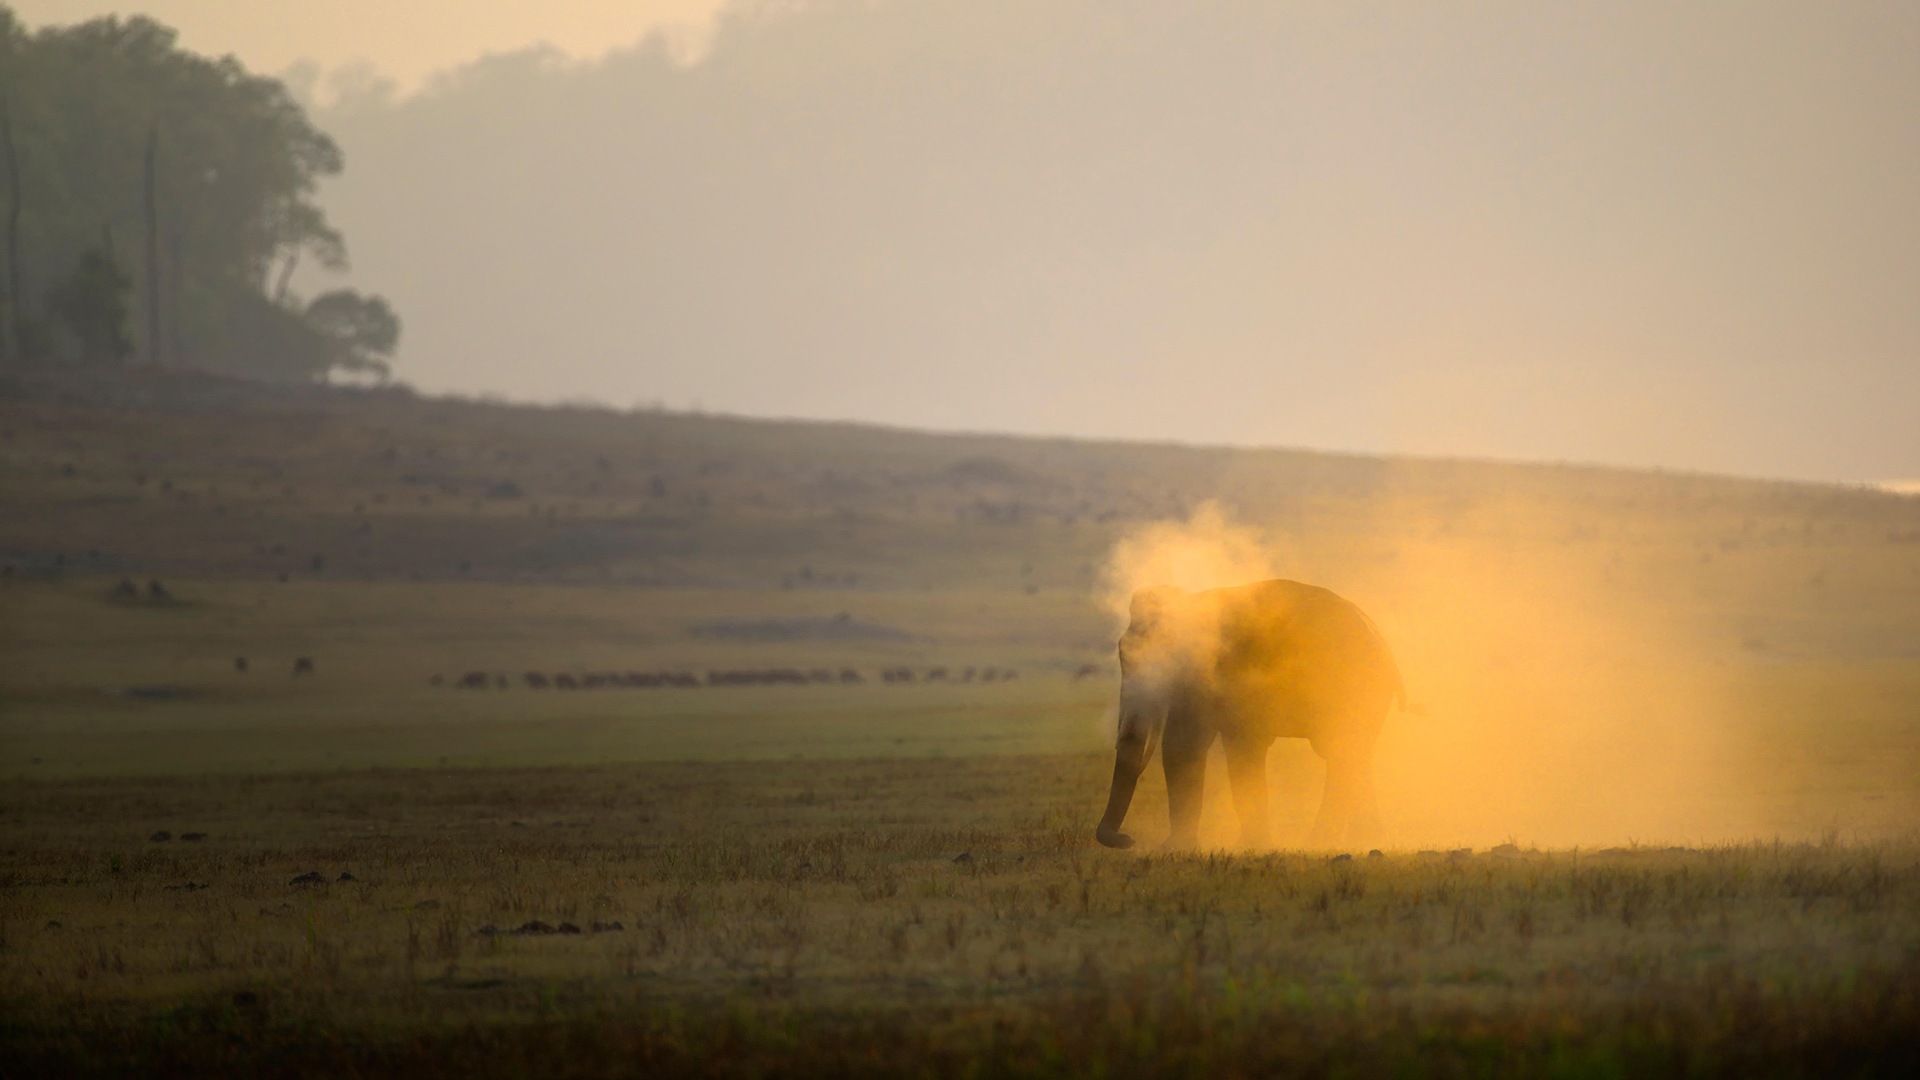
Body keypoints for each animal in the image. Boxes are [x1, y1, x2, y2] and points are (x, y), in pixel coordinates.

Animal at [1105, 580, 1405, 849]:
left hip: (1351, 687)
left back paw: (1322, 843)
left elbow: (1189, 745)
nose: (1126, 840)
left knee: (1340, 751)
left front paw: (1177, 849)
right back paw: (1366, 842)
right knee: (1352, 754)